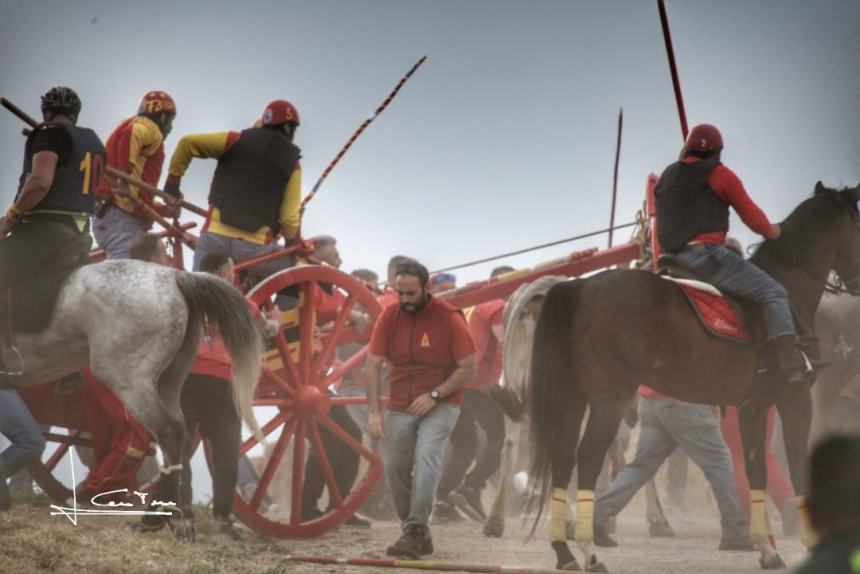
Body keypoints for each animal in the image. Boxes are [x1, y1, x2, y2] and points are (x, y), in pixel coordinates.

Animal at [4, 260, 262, 520]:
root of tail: (176, 276)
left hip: (127, 379)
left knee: (167, 433)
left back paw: (152, 514)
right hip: (168, 383)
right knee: (181, 439)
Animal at [528, 183, 856, 572]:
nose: (855, 284)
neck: (788, 289)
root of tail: (579, 287)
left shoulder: (753, 407)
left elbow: (756, 469)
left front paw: (768, 549)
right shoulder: (795, 399)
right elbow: (796, 465)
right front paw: (809, 542)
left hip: (573, 398)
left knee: (563, 459)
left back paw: (564, 552)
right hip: (609, 400)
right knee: (589, 458)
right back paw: (590, 552)